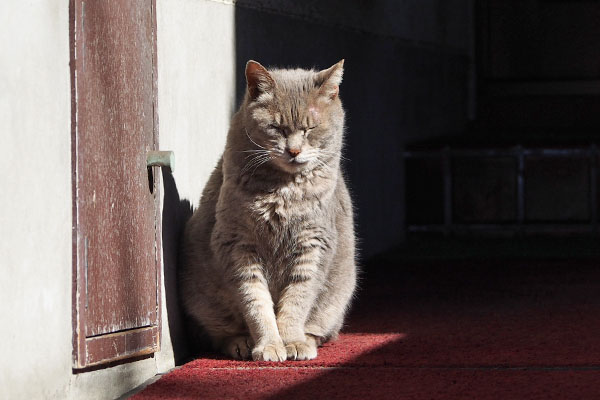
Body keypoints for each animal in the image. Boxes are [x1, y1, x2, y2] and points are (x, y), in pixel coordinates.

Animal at [178, 59, 356, 362]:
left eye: (310, 129)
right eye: (277, 128)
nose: (294, 151)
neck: (282, 191)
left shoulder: (314, 244)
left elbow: (298, 299)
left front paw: (292, 341)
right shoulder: (237, 245)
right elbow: (256, 303)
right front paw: (269, 345)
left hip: (337, 298)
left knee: (320, 330)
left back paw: (306, 341)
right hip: (205, 301)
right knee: (221, 333)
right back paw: (241, 343)